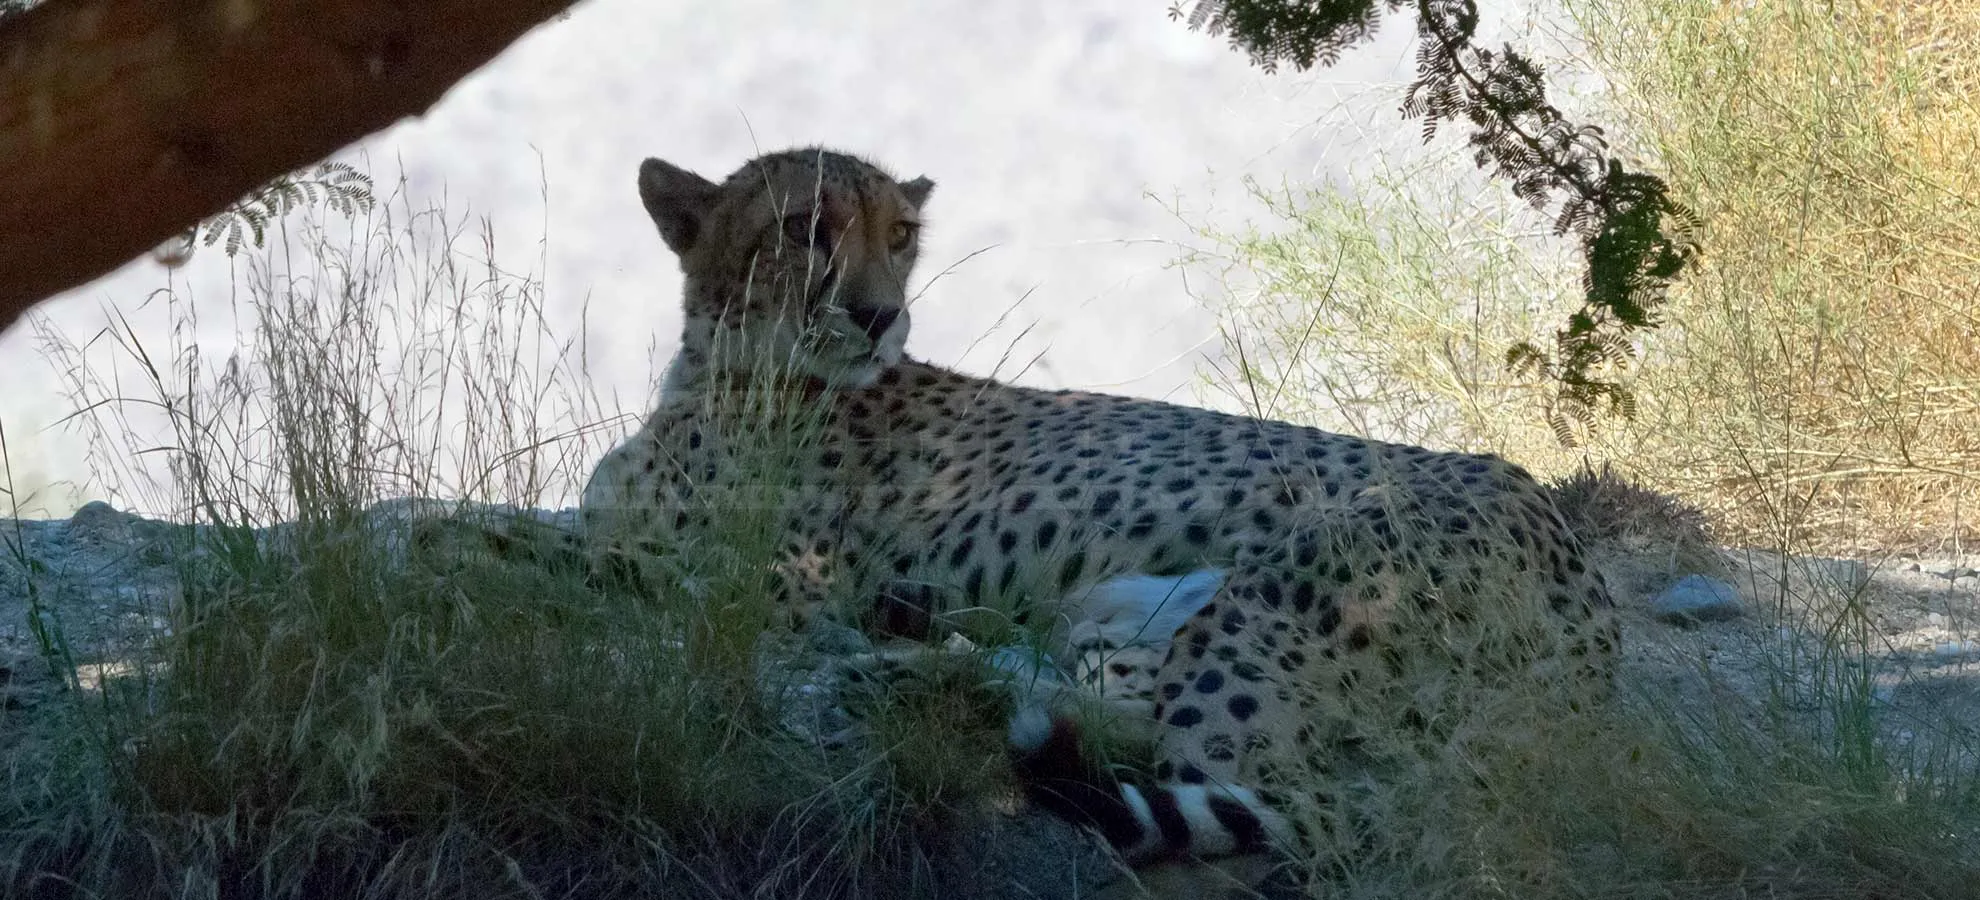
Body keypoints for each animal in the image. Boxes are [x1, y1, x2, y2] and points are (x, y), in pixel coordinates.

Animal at [579, 146, 1621, 868]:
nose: (878, 316)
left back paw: (914, 680)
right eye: (803, 228)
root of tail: (1573, 557)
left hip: (1284, 595)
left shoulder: (779, 580)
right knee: (1098, 704)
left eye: (900, 235)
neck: (727, 370)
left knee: (1212, 767)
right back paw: (918, 661)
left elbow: (601, 560)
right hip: (1117, 612)